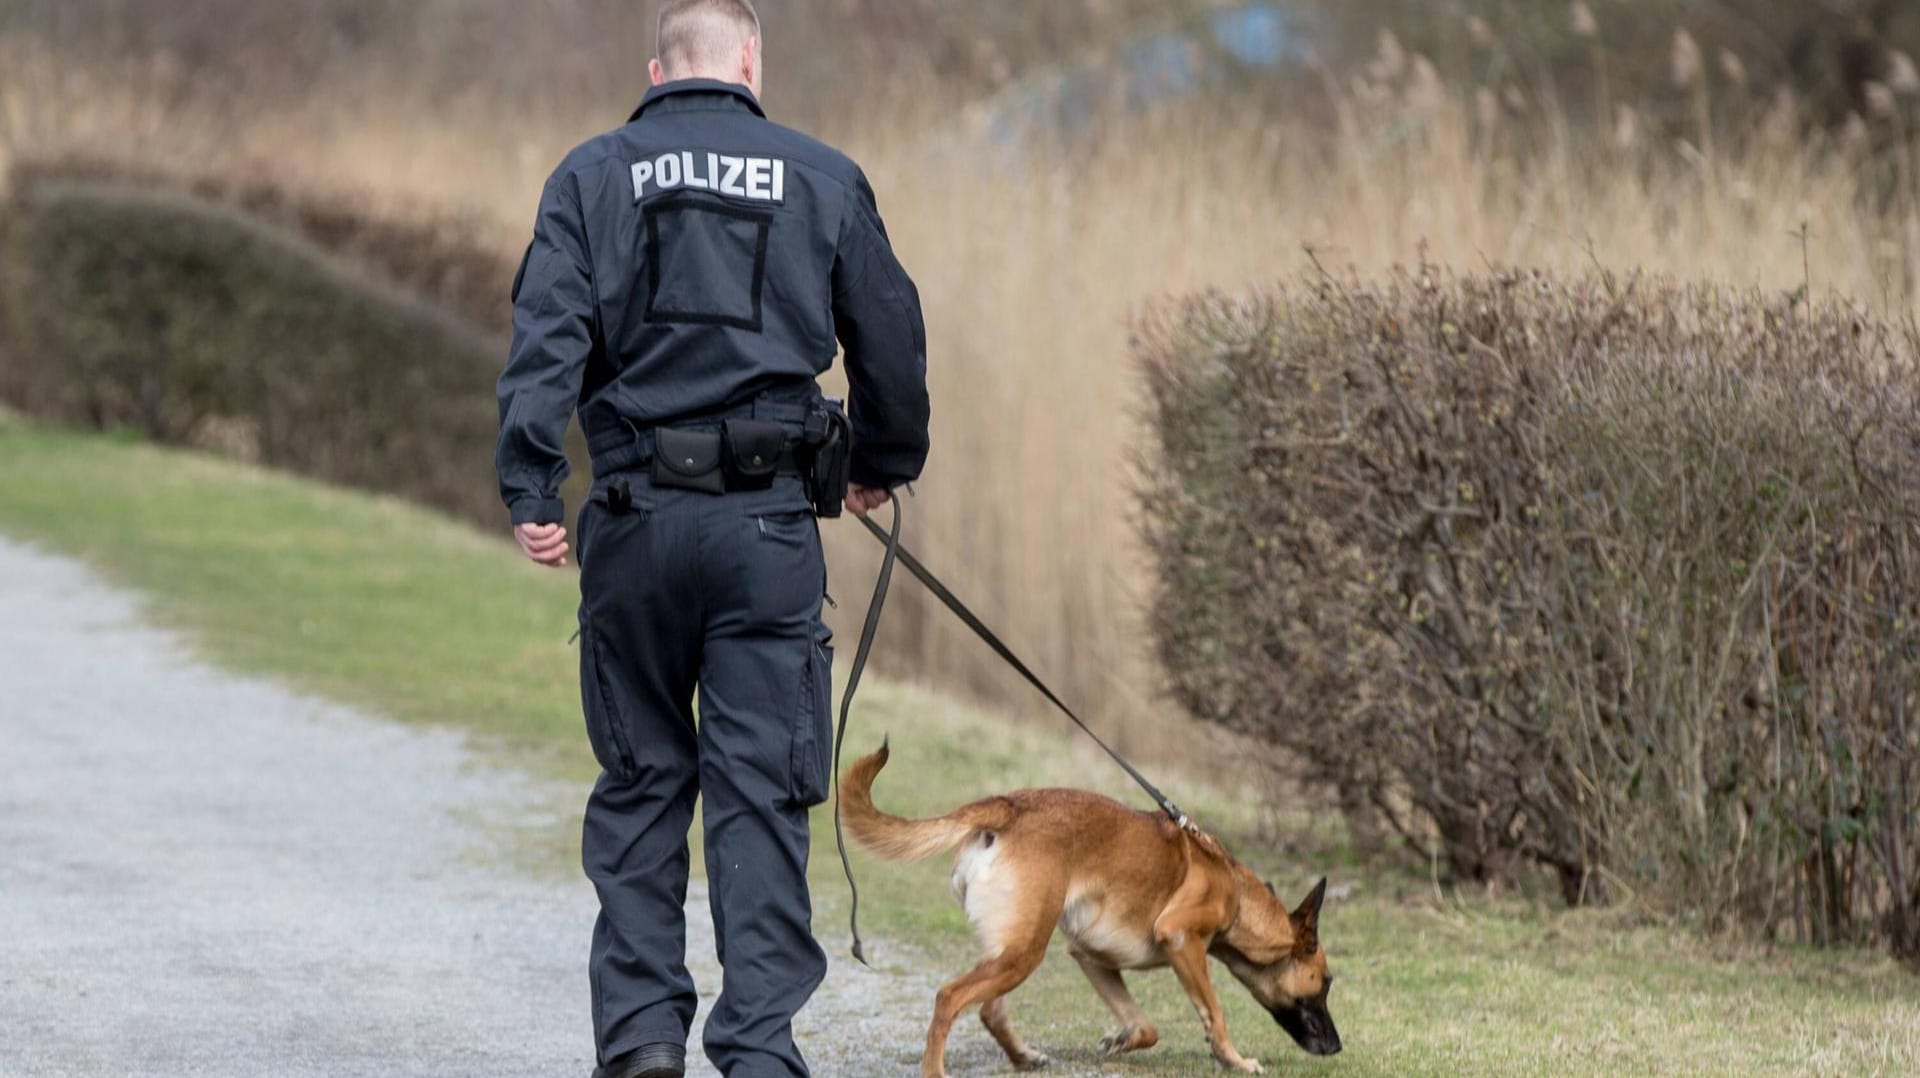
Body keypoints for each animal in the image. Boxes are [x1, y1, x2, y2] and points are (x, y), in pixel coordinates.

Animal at [840, 737, 1336, 1076]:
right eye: (1326, 981)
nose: (1337, 1047)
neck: (1235, 891)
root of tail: (1007, 807)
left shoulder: (1091, 957)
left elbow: (1146, 1027)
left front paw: (1122, 1039)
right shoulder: (1181, 940)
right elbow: (1214, 1012)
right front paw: (1234, 1059)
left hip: (1013, 948)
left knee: (989, 1009)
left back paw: (1024, 1056)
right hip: (1023, 952)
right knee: (949, 998)